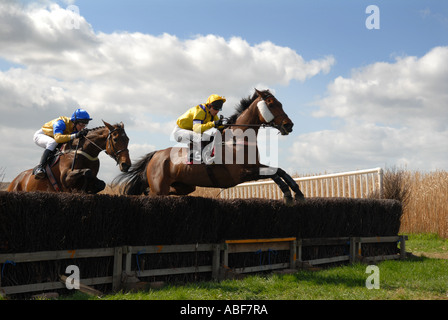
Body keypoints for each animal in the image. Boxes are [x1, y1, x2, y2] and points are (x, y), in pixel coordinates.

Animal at [114, 90, 306, 205]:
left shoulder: (255, 166)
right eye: (272, 104)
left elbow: (280, 171)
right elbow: (274, 174)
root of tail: (155, 155)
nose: (289, 125)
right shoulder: (242, 173)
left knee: (166, 191)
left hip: (184, 186)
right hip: (159, 187)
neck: (237, 139)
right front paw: (288, 195)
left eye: (280, 103)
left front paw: (298, 193)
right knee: (155, 193)